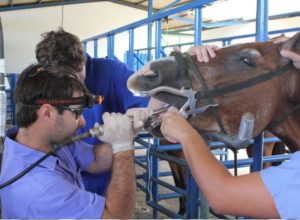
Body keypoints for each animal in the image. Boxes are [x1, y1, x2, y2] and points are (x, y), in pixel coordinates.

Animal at [127, 32, 298, 215]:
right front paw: (181, 210)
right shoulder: (172, 158)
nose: (146, 72)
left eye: (247, 60)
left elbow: (184, 185)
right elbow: (178, 184)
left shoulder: (183, 159)